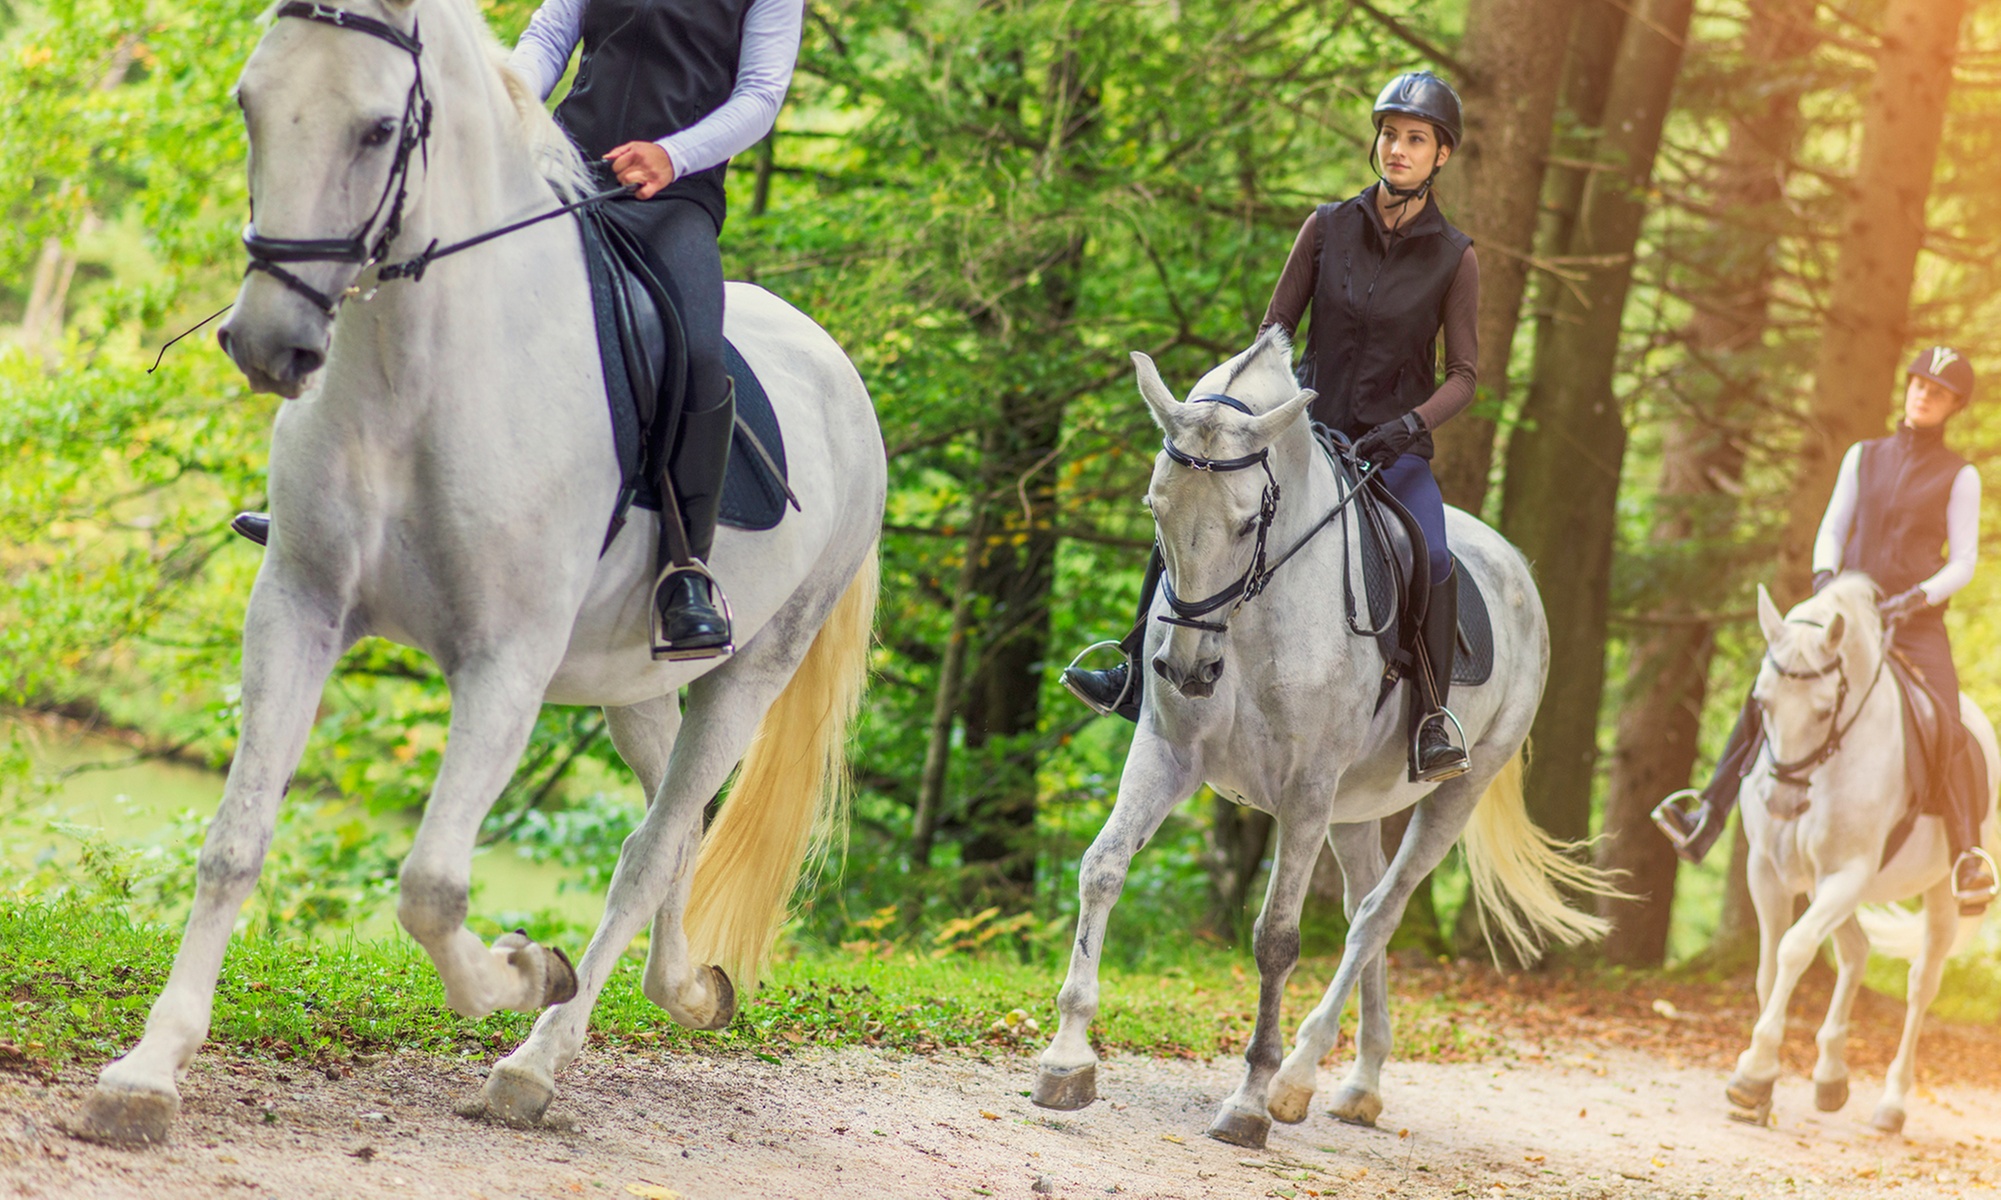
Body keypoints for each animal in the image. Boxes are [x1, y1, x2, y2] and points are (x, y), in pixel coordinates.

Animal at [73, 0, 883, 1145]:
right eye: (249, 103)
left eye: (378, 128)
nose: (269, 345)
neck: (415, 377)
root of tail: (839, 370)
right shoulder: (297, 610)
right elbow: (235, 842)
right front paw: (147, 1073)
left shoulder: (503, 667)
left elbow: (431, 886)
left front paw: (526, 966)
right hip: (634, 682)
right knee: (672, 828)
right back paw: (686, 991)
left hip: (748, 673)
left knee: (647, 850)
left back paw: (534, 1063)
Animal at [1030, 333, 1616, 1149]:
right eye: (1155, 508)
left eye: (1250, 522)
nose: (1188, 669)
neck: (1252, 615)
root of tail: (1514, 565)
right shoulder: (1167, 754)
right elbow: (1102, 868)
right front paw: (1066, 1060)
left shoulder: (1304, 789)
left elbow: (1276, 937)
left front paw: (1248, 1100)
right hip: (1353, 809)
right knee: (1363, 905)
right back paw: (1355, 1082)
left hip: (1452, 794)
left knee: (1378, 914)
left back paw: (1301, 1075)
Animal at [1723, 577, 1998, 1134]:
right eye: (1761, 702)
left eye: (1824, 710)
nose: (1782, 802)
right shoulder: (1768, 871)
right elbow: (1768, 966)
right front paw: (1761, 1087)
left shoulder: (1847, 873)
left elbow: (1793, 950)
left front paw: (1754, 1071)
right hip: (1828, 885)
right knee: (1855, 950)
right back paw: (1831, 1074)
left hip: (1938, 894)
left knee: (1921, 983)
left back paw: (1892, 1104)